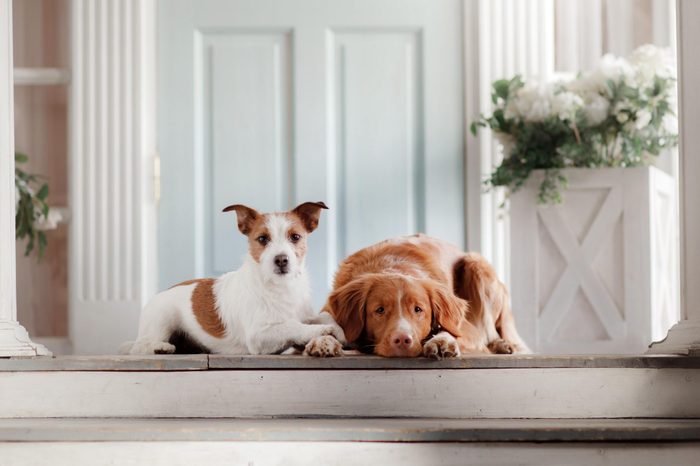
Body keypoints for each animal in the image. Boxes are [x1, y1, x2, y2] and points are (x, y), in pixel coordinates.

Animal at [125, 202, 348, 354]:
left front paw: (338, 331)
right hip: (162, 319)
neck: (279, 286)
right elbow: (293, 325)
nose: (281, 260)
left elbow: (322, 316)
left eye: (295, 237)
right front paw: (324, 331)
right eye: (262, 239)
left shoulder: (305, 314)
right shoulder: (259, 335)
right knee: (138, 346)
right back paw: (159, 347)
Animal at [308, 235, 528, 358]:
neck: (392, 265)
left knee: (490, 332)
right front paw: (323, 341)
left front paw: (441, 341)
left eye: (418, 309)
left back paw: (503, 345)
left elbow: (452, 332)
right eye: (379, 310)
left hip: (476, 264)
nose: (402, 340)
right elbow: (327, 329)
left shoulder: (468, 329)